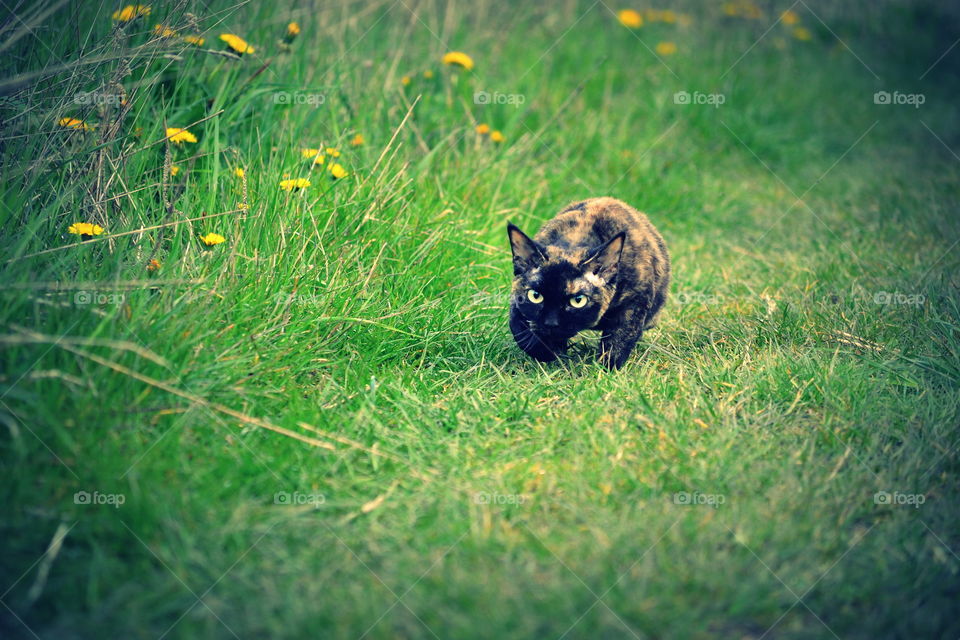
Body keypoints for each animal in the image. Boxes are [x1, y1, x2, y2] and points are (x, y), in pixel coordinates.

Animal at [510, 199, 668, 370]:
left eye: (578, 300)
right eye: (535, 296)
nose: (551, 323)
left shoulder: (634, 303)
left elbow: (619, 341)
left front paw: (605, 370)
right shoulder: (516, 301)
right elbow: (519, 330)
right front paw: (549, 352)